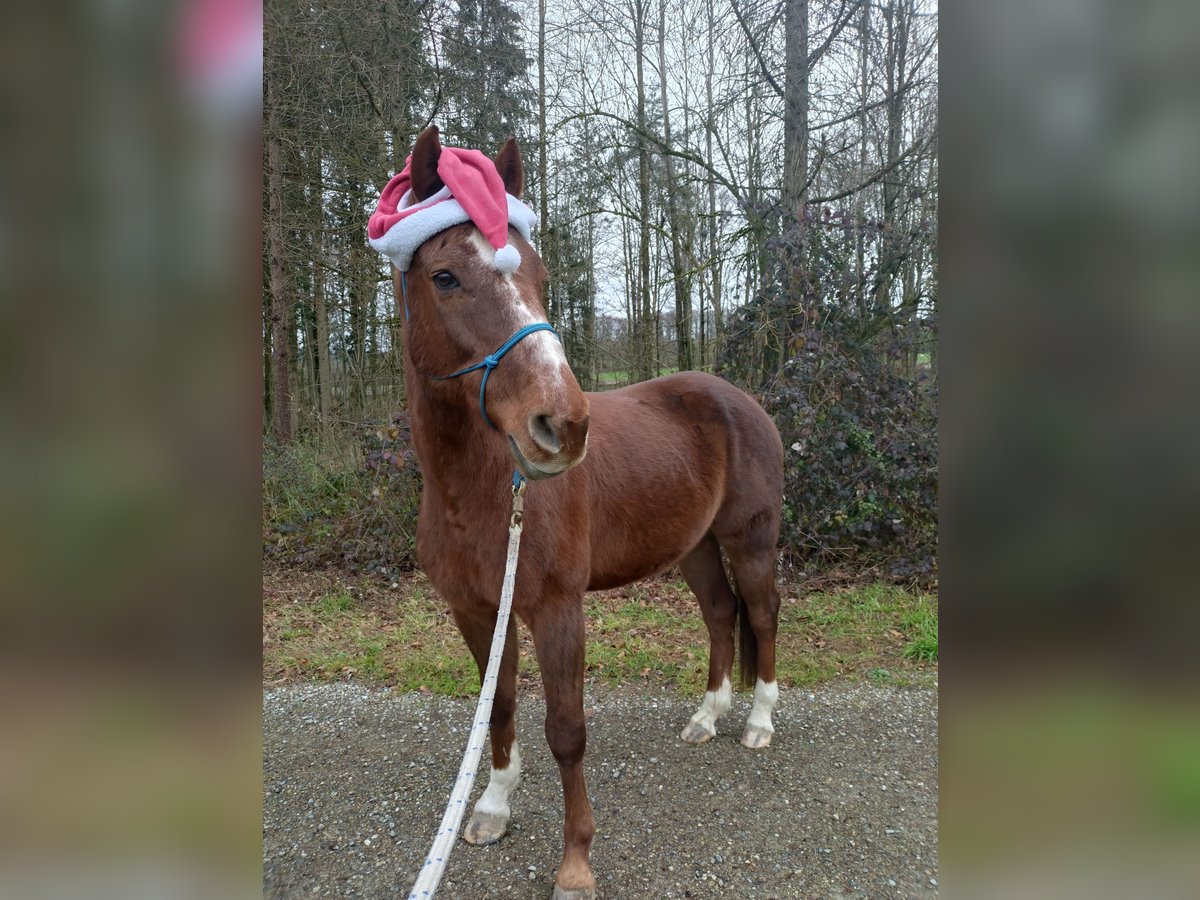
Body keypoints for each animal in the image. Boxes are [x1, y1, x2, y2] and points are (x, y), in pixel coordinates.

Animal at [388, 128, 782, 900]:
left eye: (539, 272)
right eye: (445, 277)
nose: (562, 425)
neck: (476, 493)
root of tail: (740, 400)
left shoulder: (557, 608)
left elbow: (567, 730)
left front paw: (575, 864)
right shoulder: (478, 611)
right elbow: (500, 707)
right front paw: (492, 806)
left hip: (751, 540)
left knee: (762, 611)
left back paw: (756, 724)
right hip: (693, 547)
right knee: (721, 612)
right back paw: (707, 715)